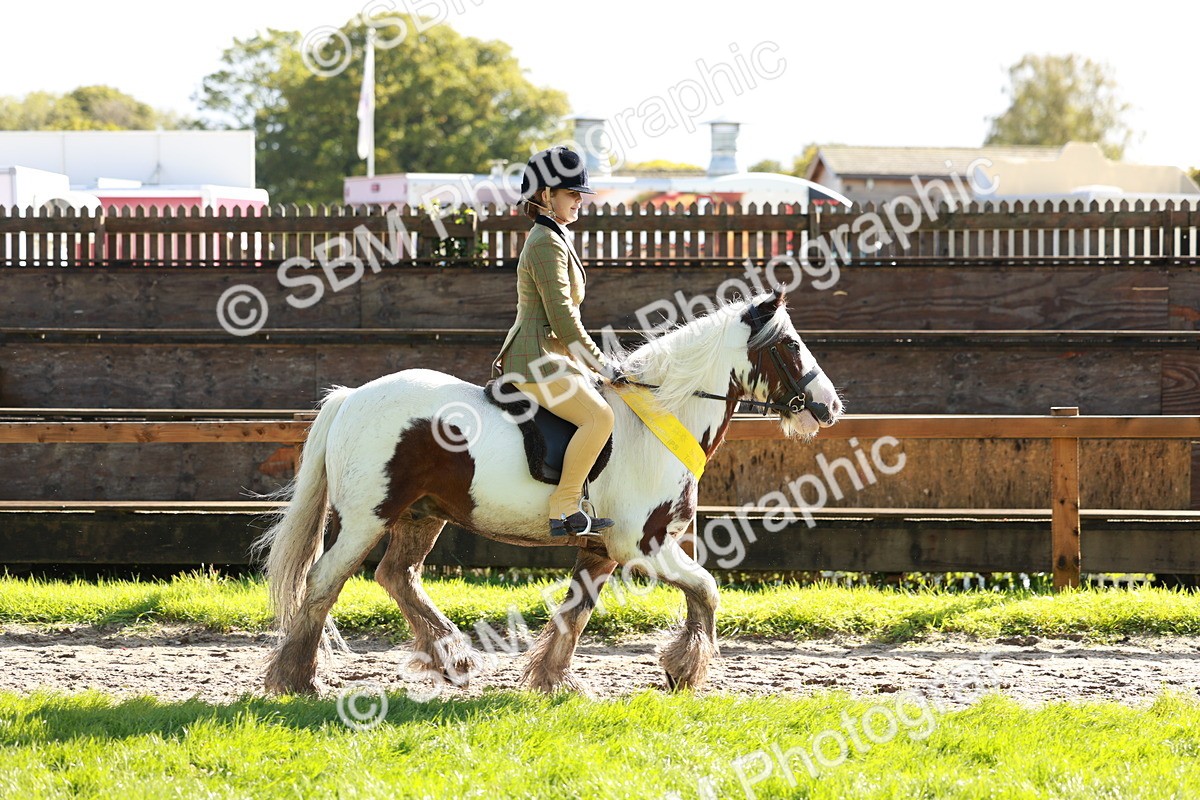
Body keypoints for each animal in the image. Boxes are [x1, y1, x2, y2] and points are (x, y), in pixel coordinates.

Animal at [254, 287, 842, 695]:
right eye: (790, 345)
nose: (830, 407)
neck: (658, 420)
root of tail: (351, 396)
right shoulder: (643, 545)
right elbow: (706, 589)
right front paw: (683, 670)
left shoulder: (602, 547)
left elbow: (577, 611)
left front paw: (553, 680)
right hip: (366, 518)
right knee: (324, 582)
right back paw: (298, 679)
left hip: (423, 514)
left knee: (397, 576)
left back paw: (454, 658)